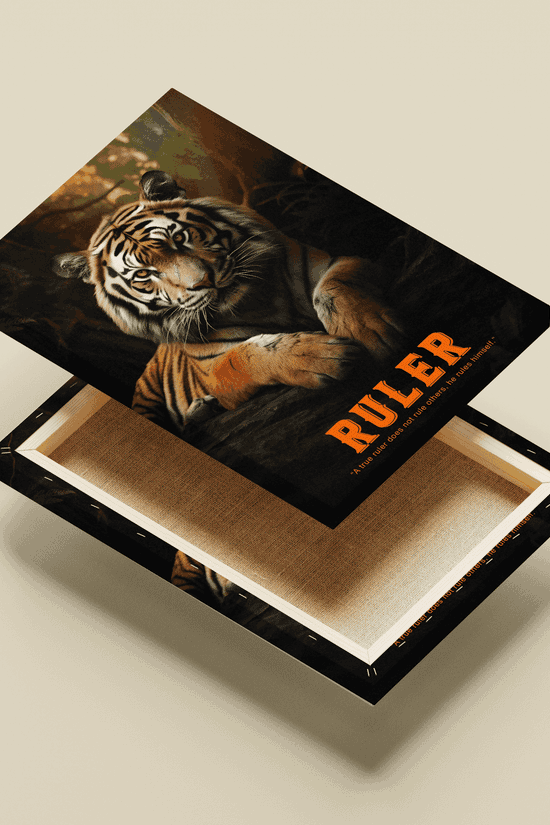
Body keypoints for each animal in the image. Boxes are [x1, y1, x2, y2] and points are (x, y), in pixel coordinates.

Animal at [53, 170, 403, 432]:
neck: (256, 300)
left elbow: (334, 288)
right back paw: (200, 410)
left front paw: (371, 332)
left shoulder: (334, 262)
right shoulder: (213, 365)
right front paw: (321, 357)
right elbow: (248, 355)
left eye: (178, 238)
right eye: (143, 275)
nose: (202, 282)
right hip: (146, 396)